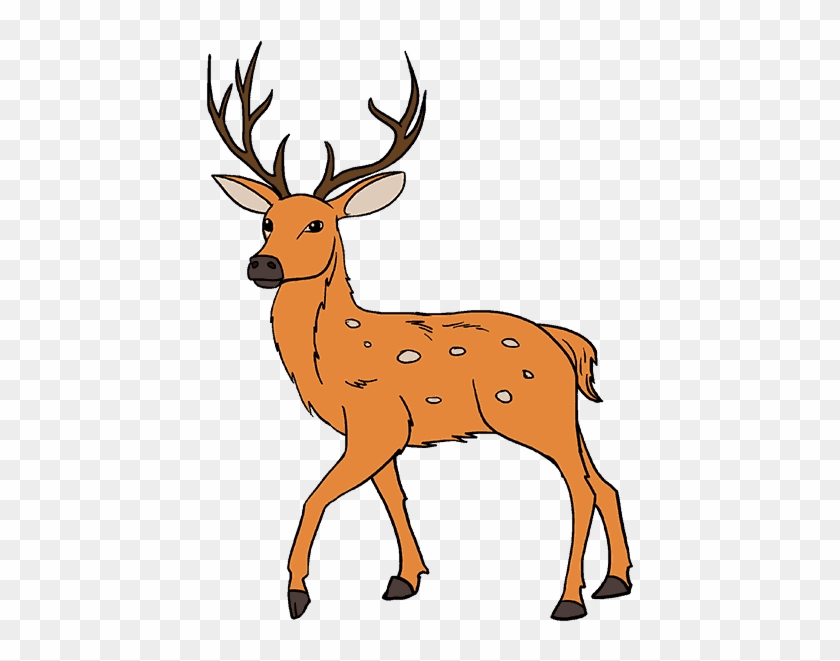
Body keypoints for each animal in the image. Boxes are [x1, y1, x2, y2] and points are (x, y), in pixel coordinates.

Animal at [206, 43, 633, 621]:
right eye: (267, 221)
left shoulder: (376, 421)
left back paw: (569, 600)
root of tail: (564, 341)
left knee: (580, 488)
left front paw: (297, 593)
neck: (330, 357)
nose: (262, 264)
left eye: (318, 224)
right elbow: (392, 496)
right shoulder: (382, 432)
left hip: (529, 411)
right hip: (563, 414)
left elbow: (316, 495)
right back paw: (615, 582)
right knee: (603, 481)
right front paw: (405, 579)